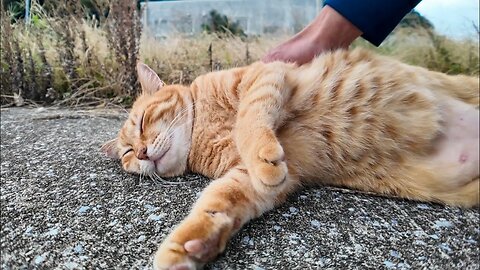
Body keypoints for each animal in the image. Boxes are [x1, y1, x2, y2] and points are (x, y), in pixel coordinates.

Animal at [100, 47, 476, 268]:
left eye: (143, 122)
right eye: (129, 154)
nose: (142, 153)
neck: (202, 133)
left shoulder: (265, 76)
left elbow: (250, 119)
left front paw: (261, 152)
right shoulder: (254, 179)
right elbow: (216, 203)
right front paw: (191, 245)